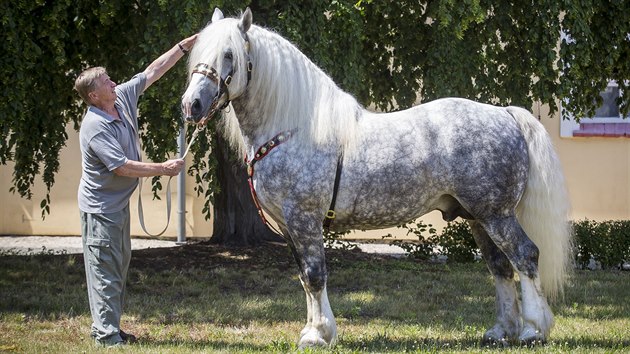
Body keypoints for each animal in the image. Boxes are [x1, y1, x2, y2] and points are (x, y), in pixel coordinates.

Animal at [180, 8, 576, 348]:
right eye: (199, 52)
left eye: (228, 55)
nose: (191, 105)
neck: (293, 128)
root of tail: (506, 114)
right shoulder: (290, 227)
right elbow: (305, 278)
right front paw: (313, 331)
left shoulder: (304, 220)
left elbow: (315, 274)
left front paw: (319, 335)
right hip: (478, 217)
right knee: (500, 266)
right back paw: (501, 331)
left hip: (497, 214)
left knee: (525, 257)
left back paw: (533, 330)